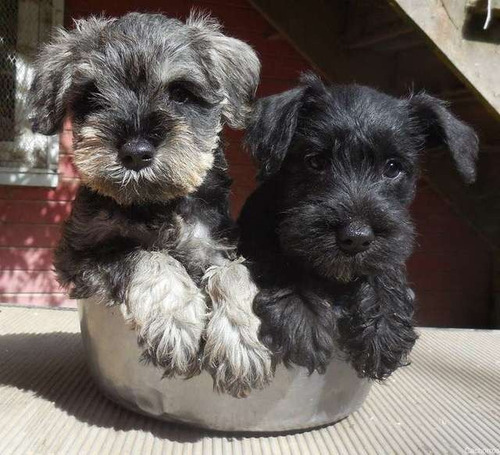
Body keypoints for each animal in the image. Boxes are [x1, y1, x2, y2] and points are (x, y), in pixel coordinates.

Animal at [29, 11, 272, 400]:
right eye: (91, 94)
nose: (136, 153)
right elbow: (147, 255)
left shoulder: (215, 248)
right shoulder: (79, 258)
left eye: (181, 93)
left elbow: (234, 273)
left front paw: (242, 340)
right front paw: (177, 321)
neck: (154, 204)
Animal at [240, 75, 478, 382]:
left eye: (393, 167)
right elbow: (278, 260)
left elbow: (385, 267)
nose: (355, 237)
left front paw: (384, 325)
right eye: (315, 161)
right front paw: (304, 318)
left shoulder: (388, 249)